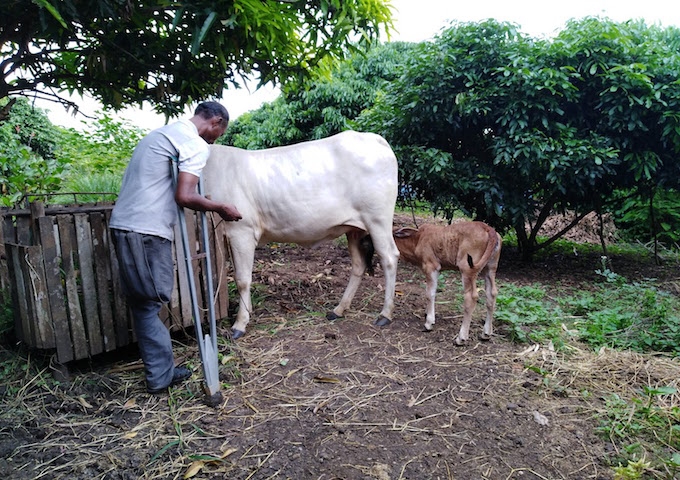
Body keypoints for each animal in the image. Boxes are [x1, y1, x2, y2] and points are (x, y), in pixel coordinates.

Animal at [201, 129, 398, 340]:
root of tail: (374, 138)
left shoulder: (241, 231)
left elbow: (242, 280)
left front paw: (240, 323)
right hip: (354, 228)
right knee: (359, 265)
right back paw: (339, 309)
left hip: (377, 220)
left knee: (389, 258)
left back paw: (385, 314)